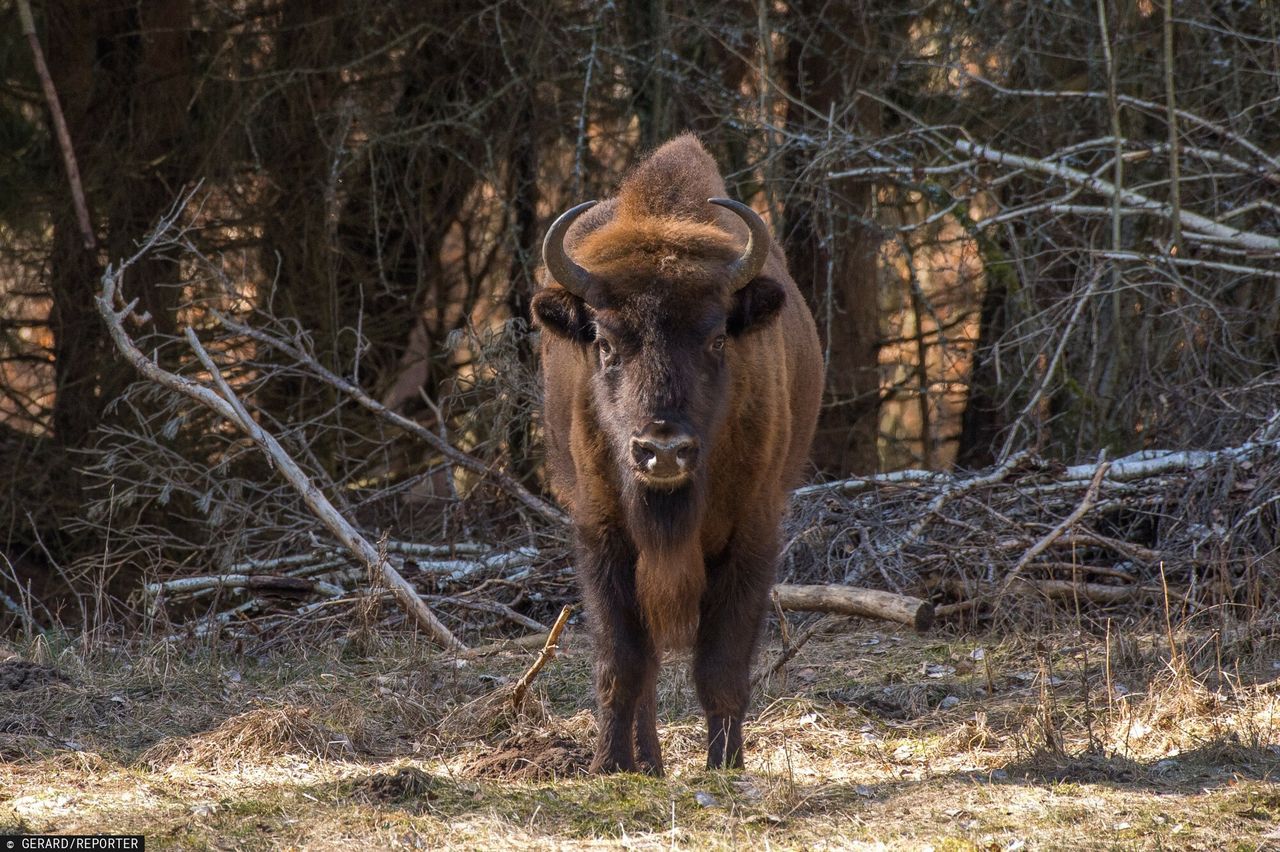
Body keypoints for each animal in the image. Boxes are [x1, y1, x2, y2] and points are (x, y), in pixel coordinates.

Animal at [529, 136, 819, 772]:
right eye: (605, 342)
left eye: (716, 338)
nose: (662, 449)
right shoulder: (604, 534)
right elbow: (623, 664)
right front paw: (610, 765)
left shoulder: (752, 534)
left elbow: (722, 668)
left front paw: (726, 764)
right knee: (647, 671)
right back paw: (648, 762)